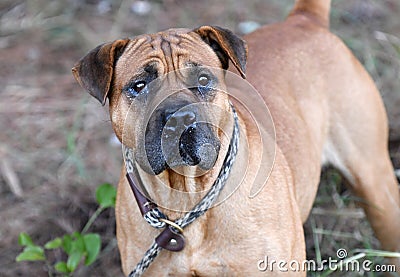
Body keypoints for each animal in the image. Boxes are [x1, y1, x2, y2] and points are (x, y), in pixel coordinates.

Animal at [72, 0, 400, 274]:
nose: (180, 118)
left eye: (203, 79)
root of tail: (303, 20)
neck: (187, 198)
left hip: (377, 185)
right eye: (139, 86)